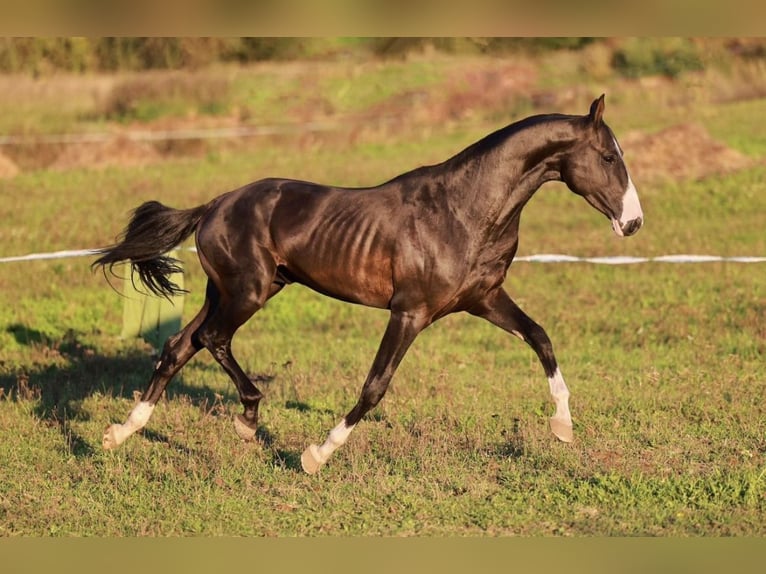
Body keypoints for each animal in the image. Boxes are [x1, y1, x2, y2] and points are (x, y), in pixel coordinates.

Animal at [91, 95, 640, 476]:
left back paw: (120, 433)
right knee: (211, 339)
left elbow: (541, 337)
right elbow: (375, 385)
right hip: (248, 292)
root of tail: (214, 205)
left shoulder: (483, 299)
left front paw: (563, 428)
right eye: (608, 158)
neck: (463, 209)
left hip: (231, 291)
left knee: (179, 345)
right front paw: (315, 455)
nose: (633, 223)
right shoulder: (410, 312)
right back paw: (246, 421)